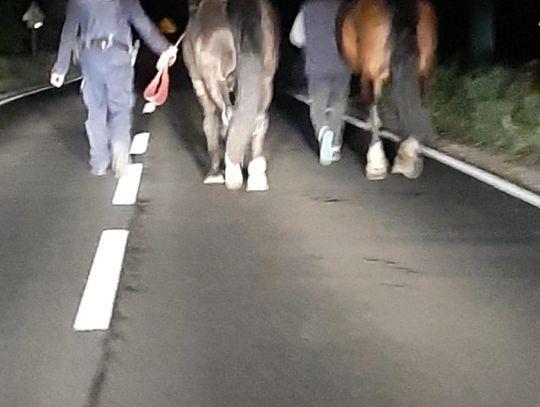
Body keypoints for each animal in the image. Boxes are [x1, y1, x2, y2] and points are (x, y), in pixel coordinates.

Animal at [184, 0, 280, 192]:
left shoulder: (201, 83)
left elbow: (210, 123)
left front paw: (216, 174)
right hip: (265, 77)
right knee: (258, 118)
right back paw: (255, 177)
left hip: (214, 79)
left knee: (225, 116)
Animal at [338, 0, 438, 180]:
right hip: (425, 71)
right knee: (418, 106)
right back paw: (408, 155)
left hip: (371, 74)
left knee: (374, 111)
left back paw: (376, 164)